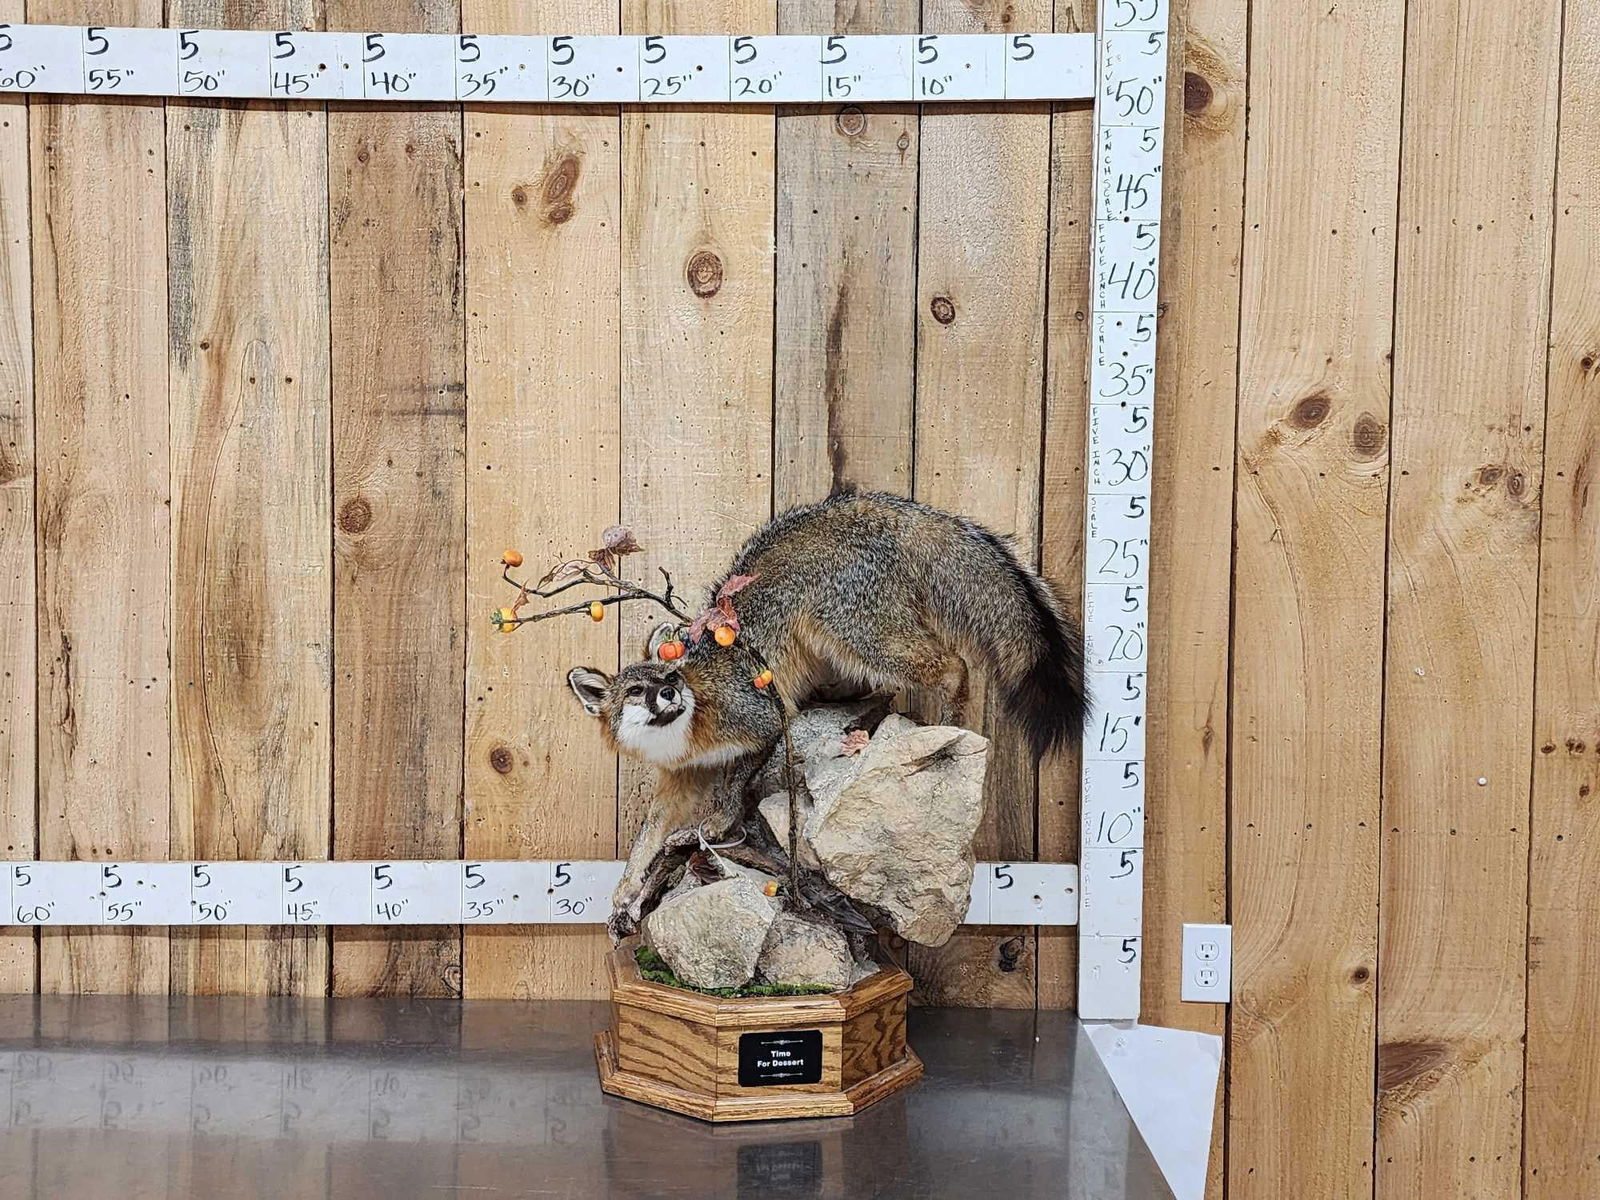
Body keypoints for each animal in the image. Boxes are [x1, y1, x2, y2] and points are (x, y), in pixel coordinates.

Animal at [565, 491, 1087, 936]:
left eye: (670, 679)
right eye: (638, 691)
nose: (670, 694)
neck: (687, 734)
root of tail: (872, 507)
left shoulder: (765, 720)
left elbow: (736, 783)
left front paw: (715, 823)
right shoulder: (682, 780)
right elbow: (647, 837)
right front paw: (627, 888)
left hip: (855, 638)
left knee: (953, 665)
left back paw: (950, 723)